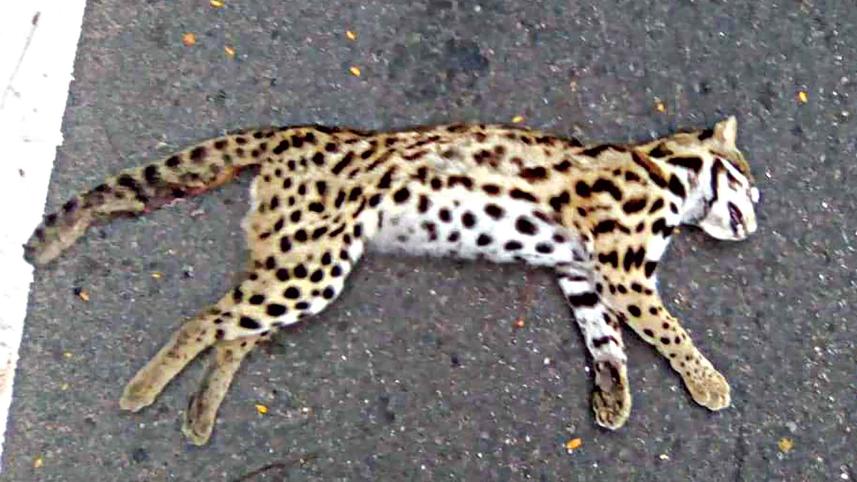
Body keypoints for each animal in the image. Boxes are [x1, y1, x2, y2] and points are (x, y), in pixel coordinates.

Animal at [24, 116, 760, 445]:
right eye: (750, 187)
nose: (752, 226)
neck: (666, 174)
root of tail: (297, 132)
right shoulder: (621, 269)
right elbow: (669, 332)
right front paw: (708, 383)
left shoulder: (580, 272)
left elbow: (602, 338)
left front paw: (611, 395)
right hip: (310, 267)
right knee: (206, 319)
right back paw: (145, 390)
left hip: (293, 265)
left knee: (234, 330)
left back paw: (200, 412)